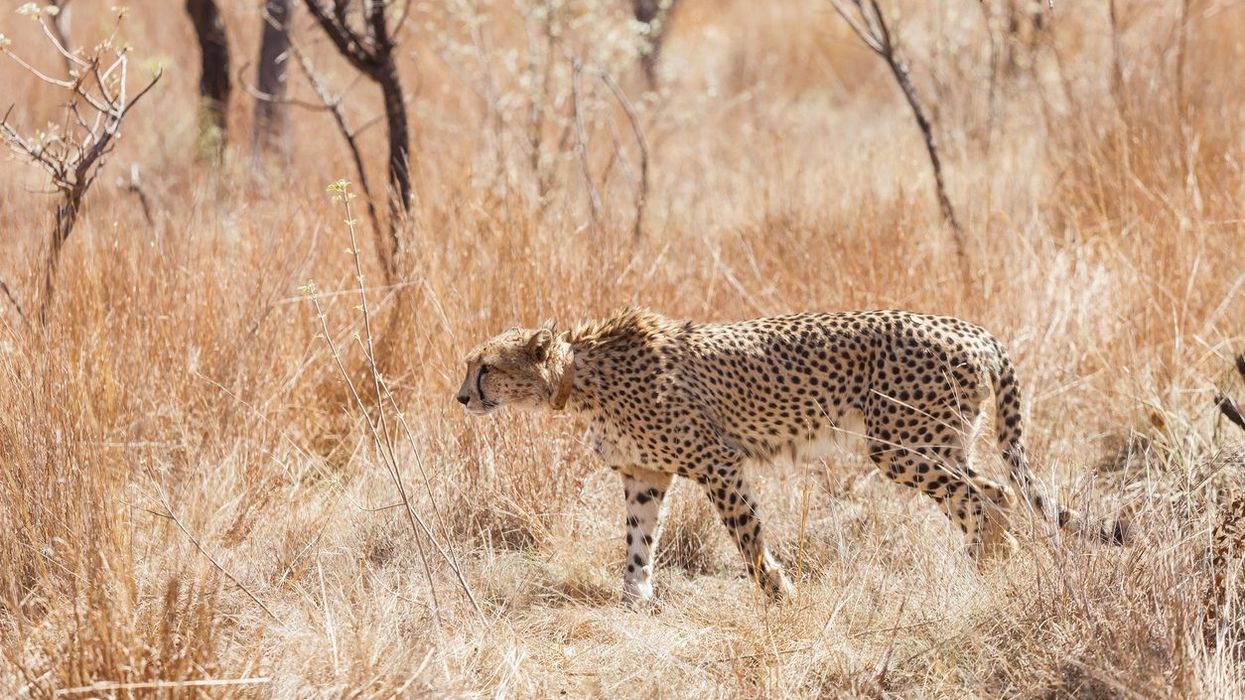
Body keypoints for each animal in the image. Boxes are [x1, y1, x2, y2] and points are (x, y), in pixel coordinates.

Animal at [456, 307, 1125, 603]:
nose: (461, 396)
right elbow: (637, 540)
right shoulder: (647, 473)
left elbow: (747, 535)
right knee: (990, 493)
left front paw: (779, 592)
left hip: (903, 443)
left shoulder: (716, 461)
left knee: (990, 494)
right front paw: (636, 599)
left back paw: (987, 566)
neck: (580, 373)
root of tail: (970, 328)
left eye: (485, 367)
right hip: (931, 441)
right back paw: (986, 567)